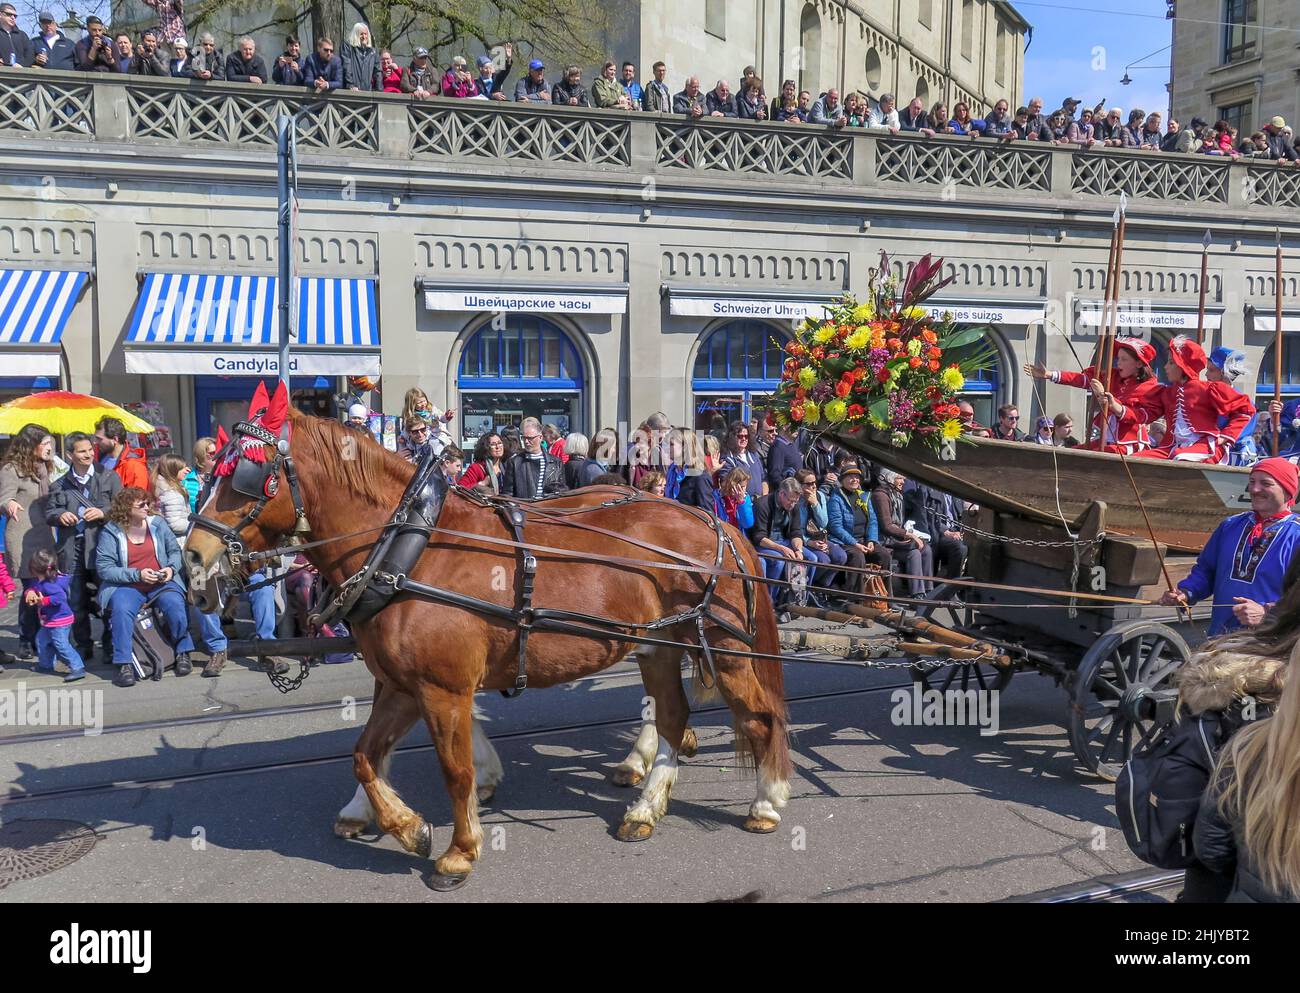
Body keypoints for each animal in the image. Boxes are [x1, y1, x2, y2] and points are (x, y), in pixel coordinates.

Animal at [184, 408, 785, 889]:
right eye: (214, 472)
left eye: (249, 479)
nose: (192, 561)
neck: (409, 548)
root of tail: (716, 523)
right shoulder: (401, 684)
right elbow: (366, 755)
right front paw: (404, 825)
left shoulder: (440, 687)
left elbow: (453, 769)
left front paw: (458, 850)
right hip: (658, 645)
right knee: (671, 715)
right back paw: (645, 806)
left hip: (727, 650)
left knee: (760, 716)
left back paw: (767, 800)